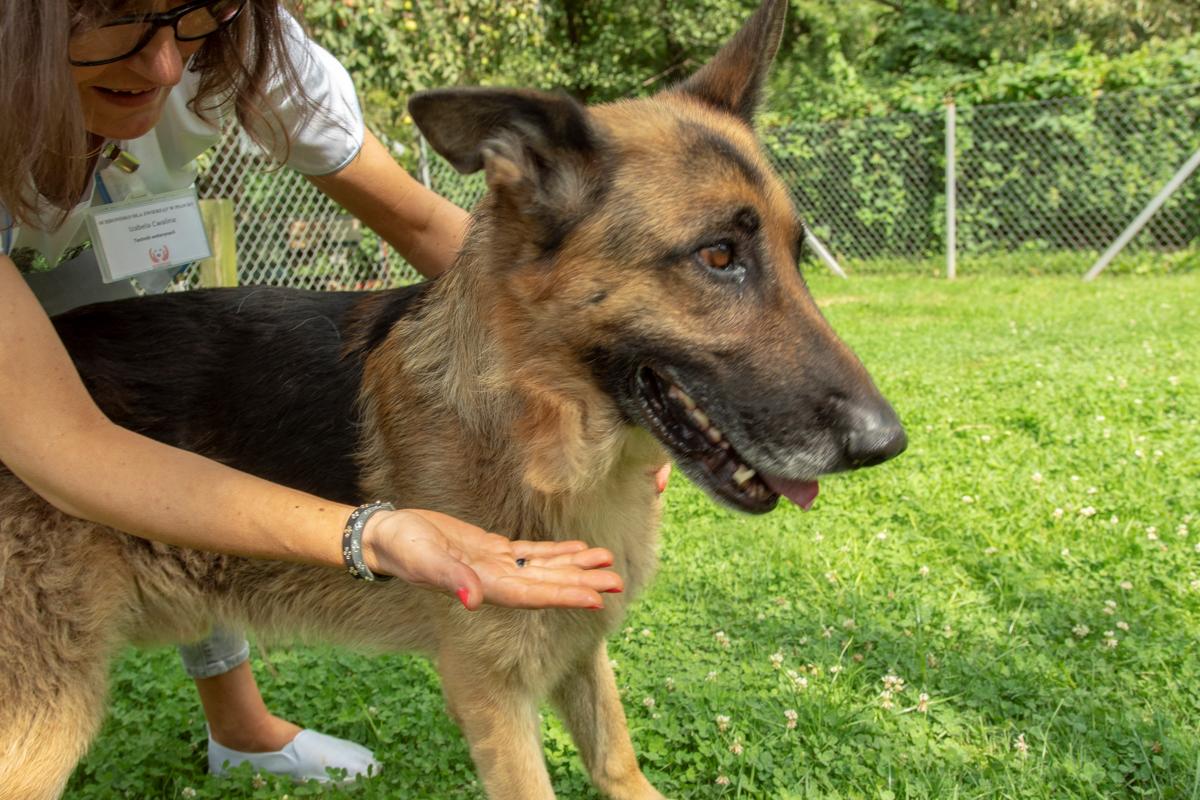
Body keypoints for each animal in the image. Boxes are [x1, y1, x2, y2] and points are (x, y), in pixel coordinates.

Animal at [0, 2, 905, 797]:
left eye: (797, 255)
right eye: (718, 256)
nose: (886, 443)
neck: (532, 421)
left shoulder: (577, 646)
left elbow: (619, 765)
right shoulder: (490, 692)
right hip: (44, 719)